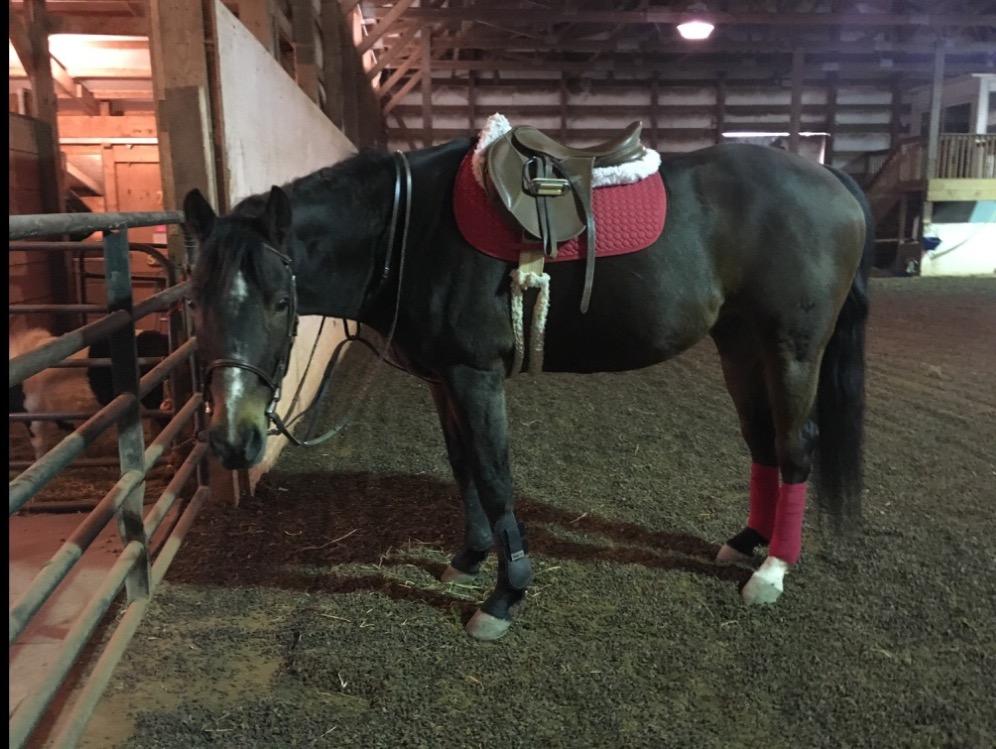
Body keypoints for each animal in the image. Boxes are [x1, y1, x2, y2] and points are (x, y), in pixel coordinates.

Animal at [182, 136, 872, 641]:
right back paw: (747, 543)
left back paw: (773, 571)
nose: (233, 439)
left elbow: (493, 474)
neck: (407, 230)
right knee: (761, 441)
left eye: (279, 302)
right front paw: (470, 558)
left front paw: (505, 594)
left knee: (796, 446)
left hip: (792, 348)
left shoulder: (475, 374)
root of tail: (831, 177)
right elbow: (463, 466)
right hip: (739, 344)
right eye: (194, 299)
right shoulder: (443, 377)